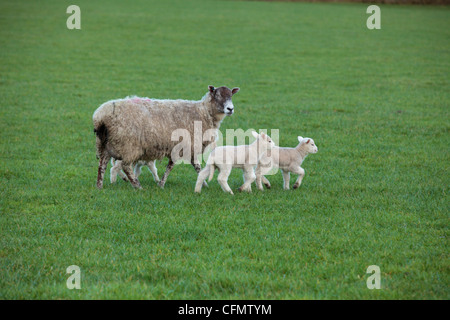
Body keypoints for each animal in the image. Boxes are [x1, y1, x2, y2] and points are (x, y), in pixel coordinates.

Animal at [93, 86, 241, 189]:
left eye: (231, 95)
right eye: (217, 95)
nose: (230, 109)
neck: (203, 112)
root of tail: (101, 116)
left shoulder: (190, 147)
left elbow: (197, 167)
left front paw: (203, 183)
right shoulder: (181, 146)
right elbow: (171, 166)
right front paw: (162, 184)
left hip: (106, 145)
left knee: (102, 164)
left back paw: (100, 186)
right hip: (128, 145)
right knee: (125, 166)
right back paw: (137, 186)